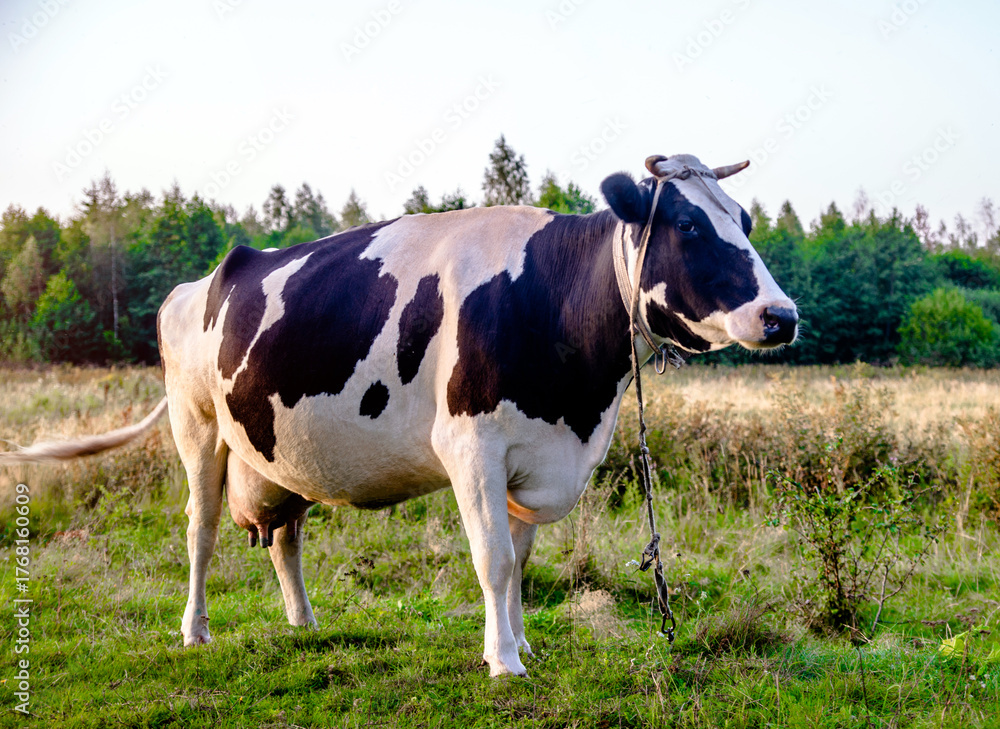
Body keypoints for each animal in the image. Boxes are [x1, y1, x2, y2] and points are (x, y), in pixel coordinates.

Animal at [1, 154, 796, 677]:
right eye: (689, 224)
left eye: (745, 220)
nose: (781, 315)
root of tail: (198, 282)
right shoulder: (472, 445)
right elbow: (493, 559)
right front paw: (504, 663)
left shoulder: (536, 452)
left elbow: (521, 563)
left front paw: (520, 643)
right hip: (197, 429)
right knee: (199, 531)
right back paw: (194, 632)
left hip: (284, 451)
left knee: (285, 535)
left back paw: (304, 623)